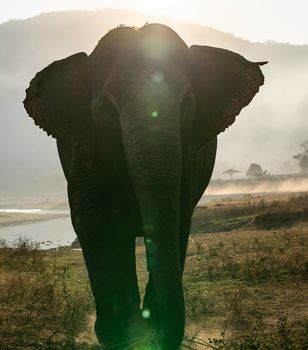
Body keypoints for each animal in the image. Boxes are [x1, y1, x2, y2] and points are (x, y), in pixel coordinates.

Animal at [23, 23, 264, 348]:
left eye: (186, 104)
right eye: (109, 109)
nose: (160, 333)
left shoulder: (189, 158)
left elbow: (178, 218)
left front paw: (145, 330)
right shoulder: (82, 149)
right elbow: (91, 219)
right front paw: (127, 336)